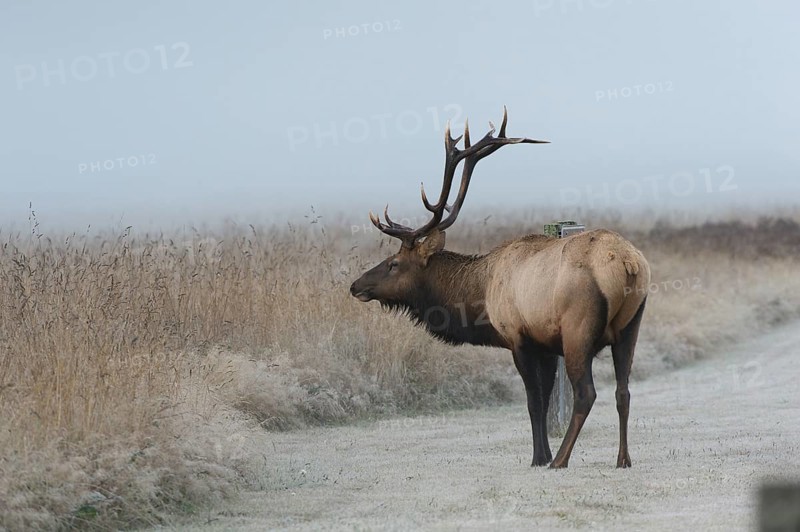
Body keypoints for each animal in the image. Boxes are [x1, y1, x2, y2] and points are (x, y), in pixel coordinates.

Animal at [350, 108, 650, 468]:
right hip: (631, 326)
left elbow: (534, 402)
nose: (356, 285)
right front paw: (541, 453)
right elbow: (545, 400)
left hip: (579, 328)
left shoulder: (518, 337)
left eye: (394, 263)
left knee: (586, 394)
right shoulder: (546, 344)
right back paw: (623, 459)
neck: (479, 295)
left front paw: (538, 457)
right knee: (623, 391)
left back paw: (560, 459)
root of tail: (629, 264)